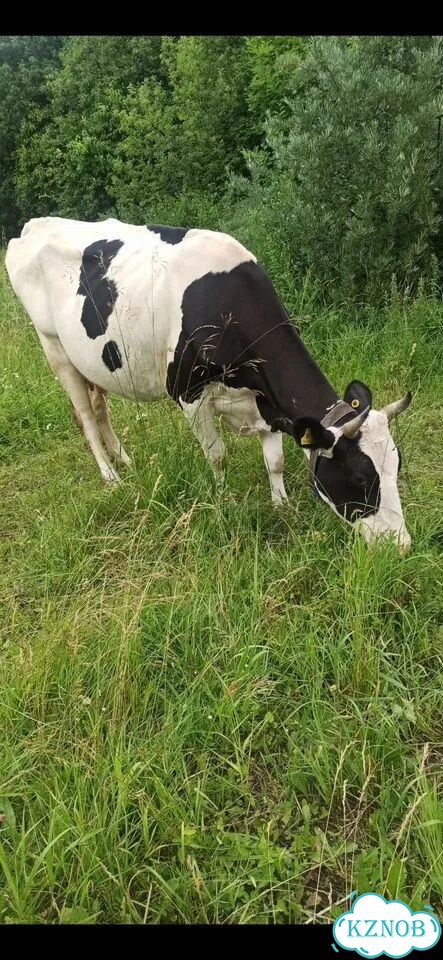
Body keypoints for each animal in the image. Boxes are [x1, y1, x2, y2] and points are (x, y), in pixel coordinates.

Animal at [5, 216, 412, 550]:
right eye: (360, 478)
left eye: (397, 466)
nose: (402, 545)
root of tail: (33, 226)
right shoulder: (189, 394)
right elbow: (217, 456)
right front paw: (223, 501)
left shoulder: (266, 402)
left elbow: (275, 461)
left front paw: (281, 507)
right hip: (55, 348)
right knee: (86, 418)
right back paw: (111, 476)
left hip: (94, 362)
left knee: (99, 408)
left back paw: (126, 461)